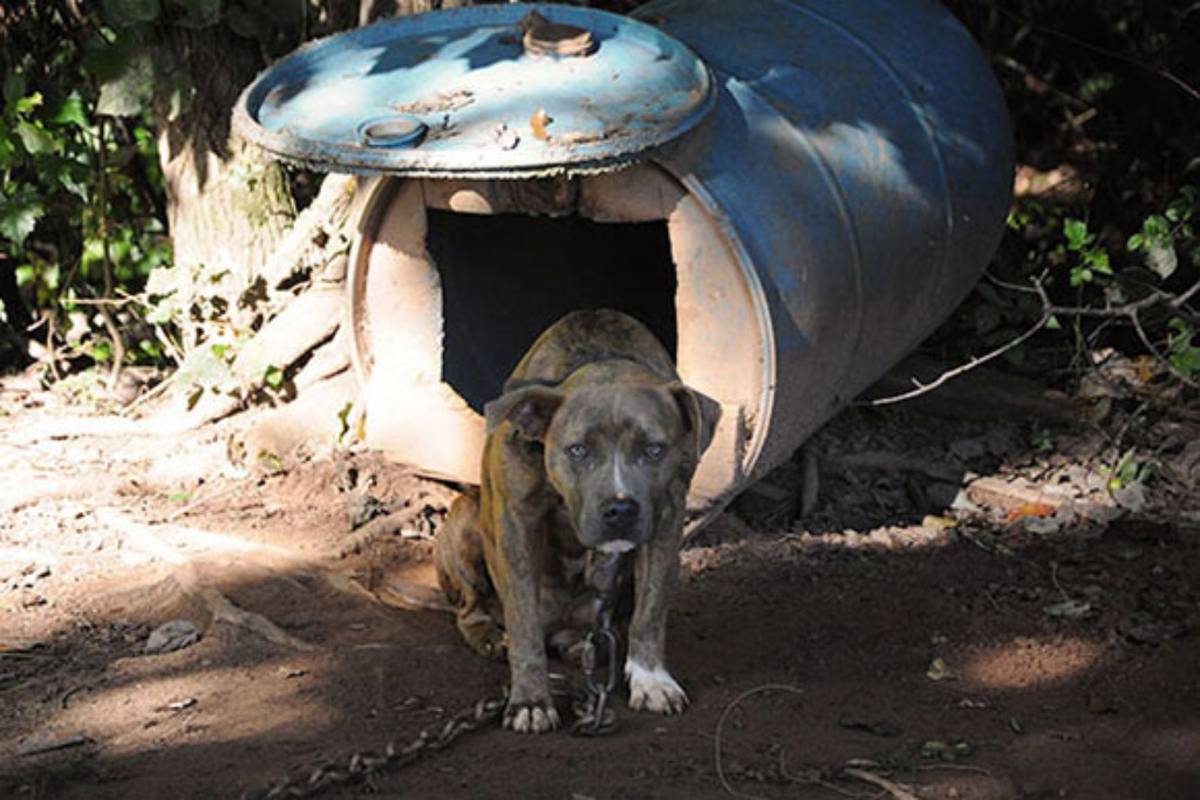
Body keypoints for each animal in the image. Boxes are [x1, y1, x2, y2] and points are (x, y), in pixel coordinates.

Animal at [434, 309, 715, 734]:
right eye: (577, 450)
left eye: (654, 450)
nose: (620, 510)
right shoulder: (516, 523)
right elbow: (524, 624)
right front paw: (531, 701)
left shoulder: (666, 519)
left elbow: (650, 611)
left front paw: (651, 680)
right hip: (466, 519)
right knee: (472, 608)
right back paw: (491, 637)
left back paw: (584, 645)